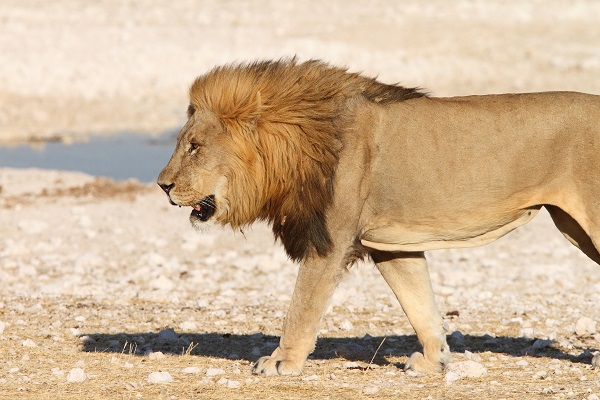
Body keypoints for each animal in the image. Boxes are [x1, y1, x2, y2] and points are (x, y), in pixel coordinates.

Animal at [158, 57, 600, 376]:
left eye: (195, 147)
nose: (162, 186)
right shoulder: (391, 244)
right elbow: (419, 303)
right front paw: (435, 361)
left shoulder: (331, 241)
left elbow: (302, 307)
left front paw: (282, 361)